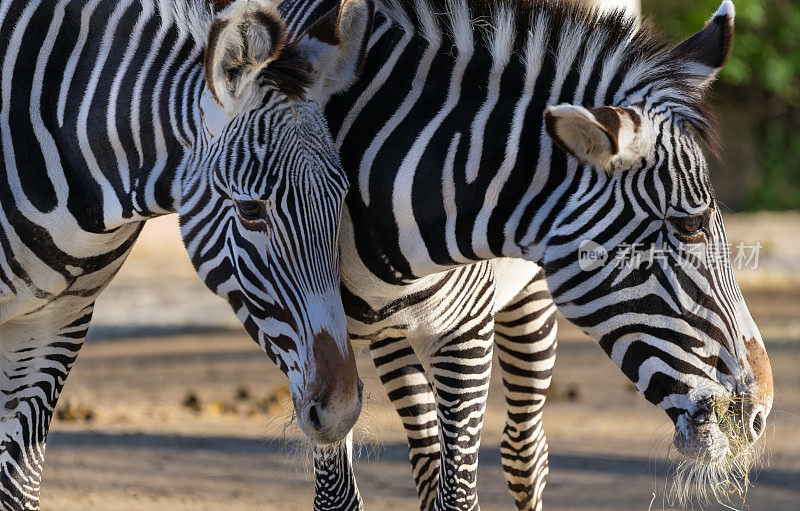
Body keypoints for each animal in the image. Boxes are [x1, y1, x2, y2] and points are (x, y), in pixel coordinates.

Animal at [282, 0, 776, 510]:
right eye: (690, 226)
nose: (758, 415)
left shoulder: (465, 330)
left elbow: (459, 488)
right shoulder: (304, 336)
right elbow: (341, 492)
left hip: (529, 299)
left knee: (524, 450)